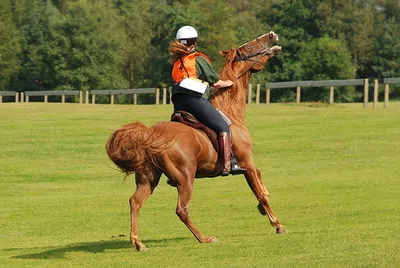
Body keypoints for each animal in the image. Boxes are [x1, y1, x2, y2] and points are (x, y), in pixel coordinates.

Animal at [106, 31, 286, 251]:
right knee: (181, 210)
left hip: (148, 178)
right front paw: (277, 224)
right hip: (185, 178)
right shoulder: (247, 162)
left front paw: (263, 210)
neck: (231, 112)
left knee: (135, 202)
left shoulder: (250, 166)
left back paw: (138, 243)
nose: (272, 35)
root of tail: (151, 135)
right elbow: (260, 192)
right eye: (250, 47)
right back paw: (205, 238)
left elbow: (261, 187)